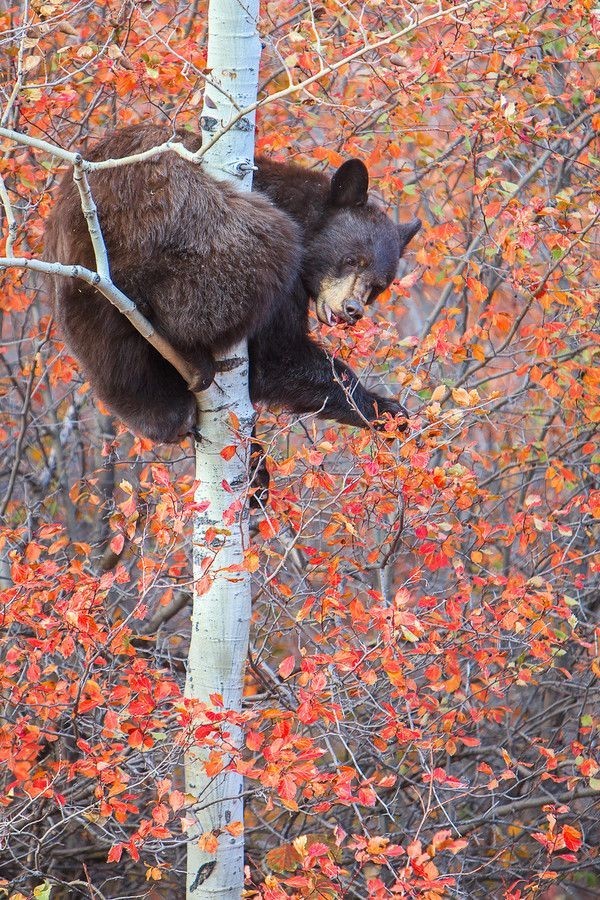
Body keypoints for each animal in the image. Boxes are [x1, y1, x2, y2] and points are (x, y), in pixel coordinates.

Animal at [44, 125, 420, 442]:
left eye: (379, 285)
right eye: (353, 259)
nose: (353, 309)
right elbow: (277, 356)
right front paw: (384, 409)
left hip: (86, 309)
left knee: (117, 366)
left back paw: (164, 415)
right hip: (195, 228)